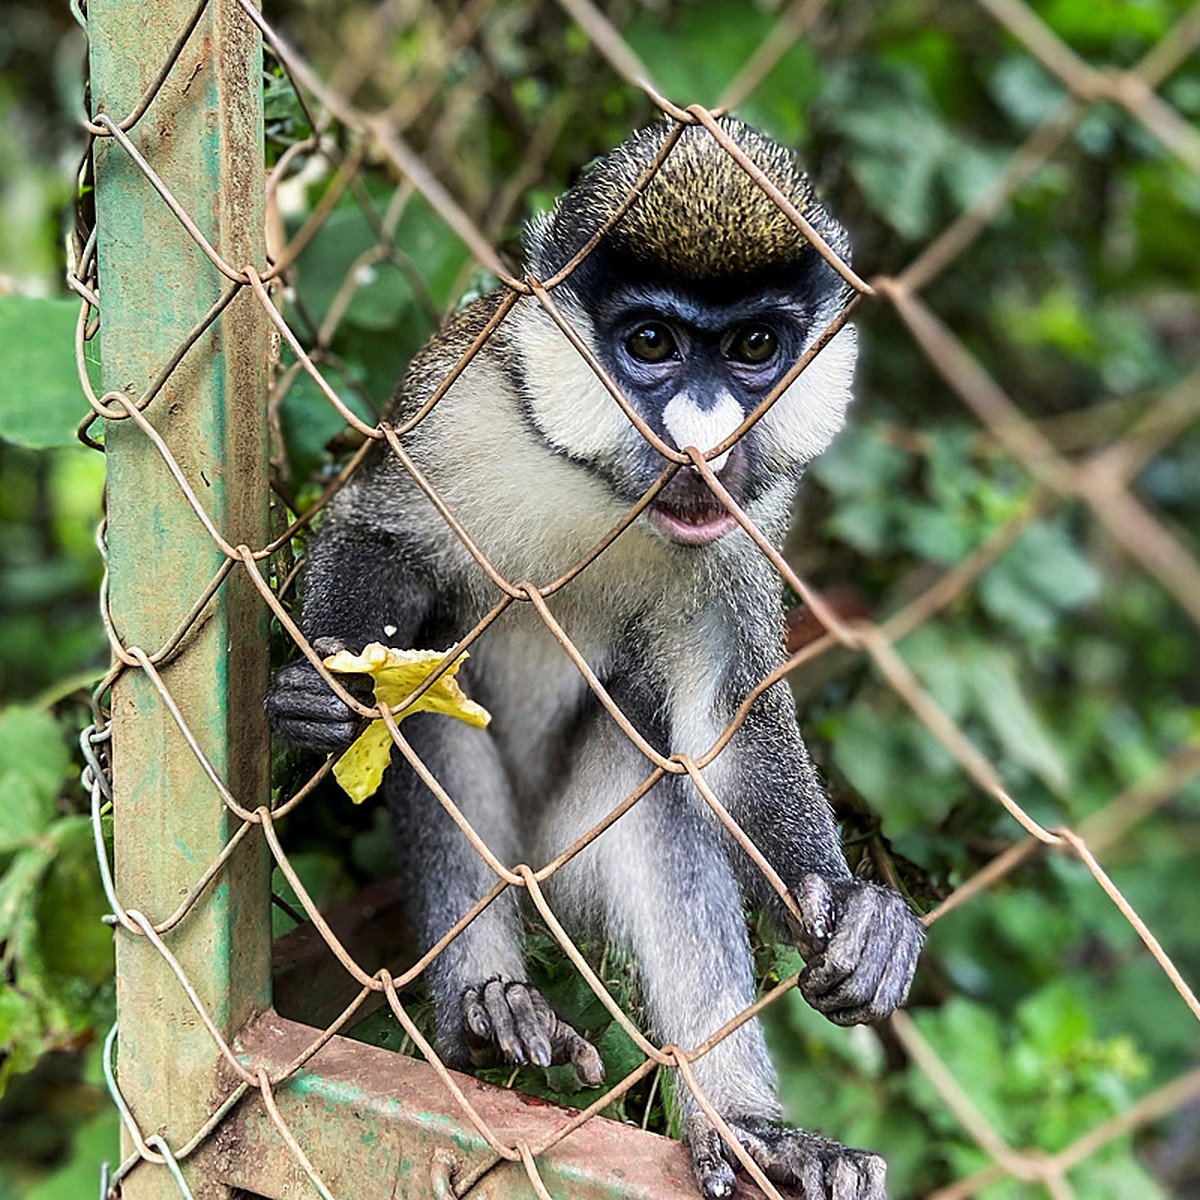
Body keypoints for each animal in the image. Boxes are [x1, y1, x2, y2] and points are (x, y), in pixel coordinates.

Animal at [267, 114, 926, 1200]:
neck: (609, 491)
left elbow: (718, 730)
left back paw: (748, 1129)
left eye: (755, 347)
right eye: (650, 343)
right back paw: (489, 1009)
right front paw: (324, 693)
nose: (703, 443)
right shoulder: (462, 401)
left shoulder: (746, 527)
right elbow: (380, 534)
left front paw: (855, 912)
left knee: (653, 775)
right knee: (436, 709)